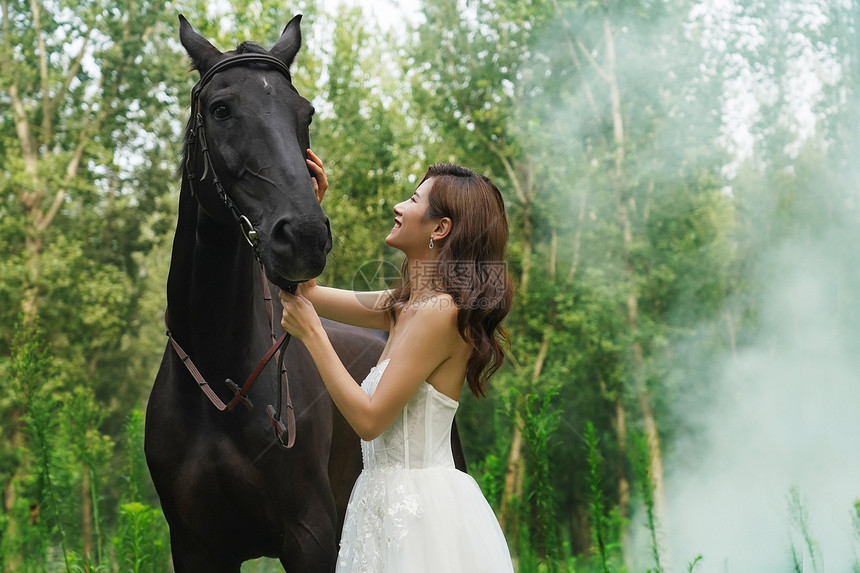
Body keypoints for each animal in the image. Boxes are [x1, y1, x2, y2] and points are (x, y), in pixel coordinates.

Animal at [144, 15, 382, 568]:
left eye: (306, 112)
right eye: (221, 109)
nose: (305, 238)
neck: (220, 391)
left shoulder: (310, 536)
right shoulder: (195, 546)